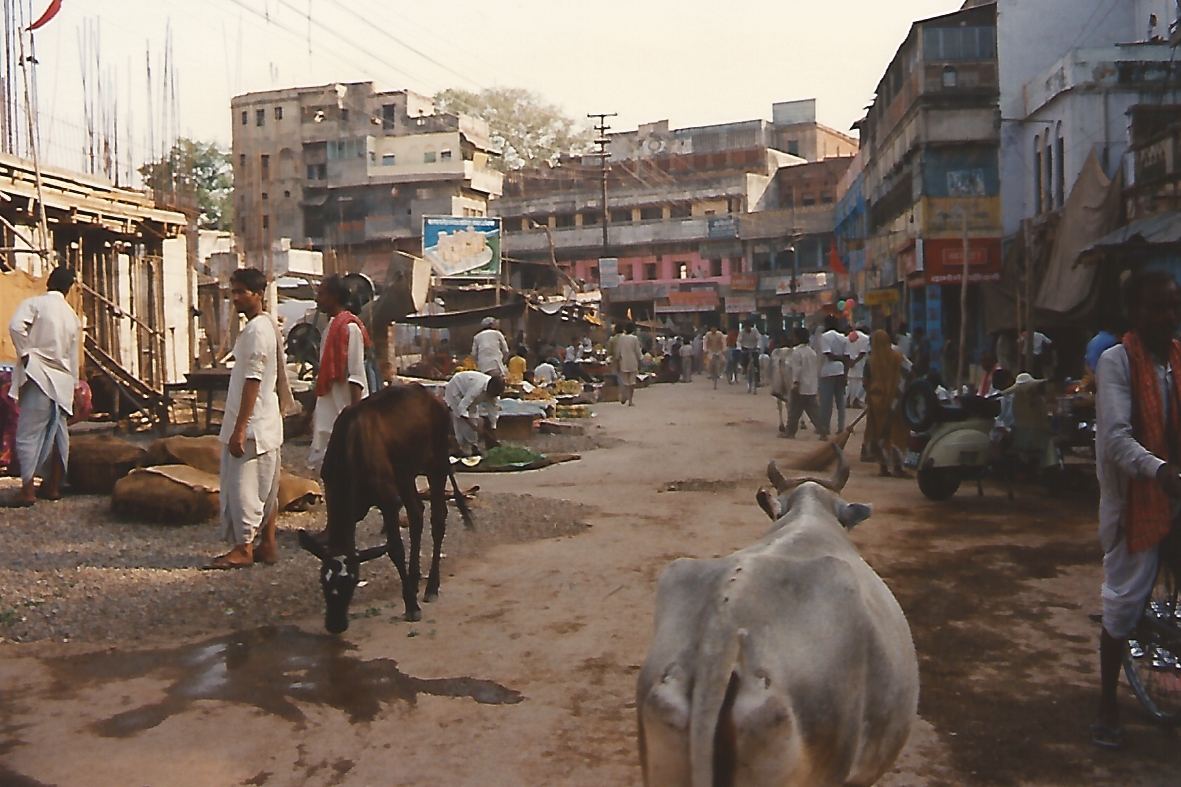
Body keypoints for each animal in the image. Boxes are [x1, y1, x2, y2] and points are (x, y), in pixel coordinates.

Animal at [297, 380, 472, 633]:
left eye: (352, 582)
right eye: (323, 580)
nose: (335, 625)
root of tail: (432, 396)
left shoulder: (388, 500)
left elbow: (395, 549)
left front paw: (411, 606)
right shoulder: (334, 493)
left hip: (437, 464)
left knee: (438, 519)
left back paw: (431, 587)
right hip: (406, 474)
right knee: (417, 513)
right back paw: (414, 580)